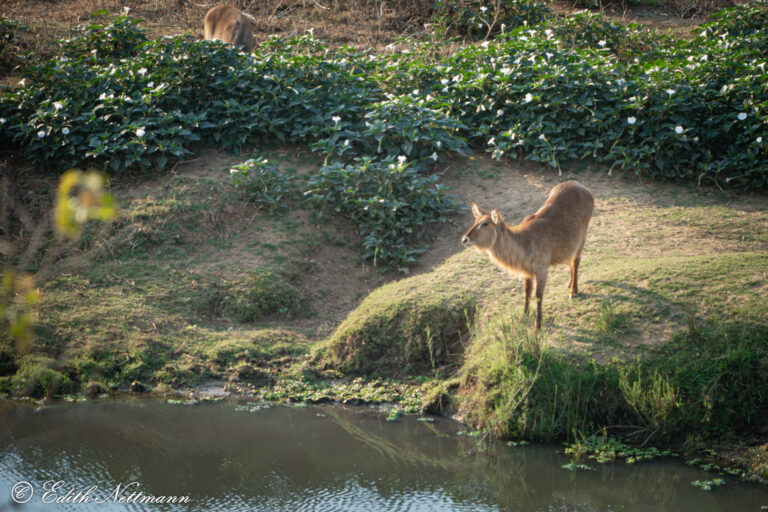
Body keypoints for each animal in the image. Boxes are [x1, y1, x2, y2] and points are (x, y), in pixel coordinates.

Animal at [462, 182, 592, 330]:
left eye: (485, 223)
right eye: (475, 221)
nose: (464, 239)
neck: (524, 243)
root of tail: (580, 186)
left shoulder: (542, 270)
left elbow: (538, 295)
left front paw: (538, 323)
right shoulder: (528, 272)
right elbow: (527, 292)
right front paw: (524, 315)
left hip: (582, 238)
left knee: (576, 261)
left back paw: (574, 291)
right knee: (571, 262)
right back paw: (569, 284)